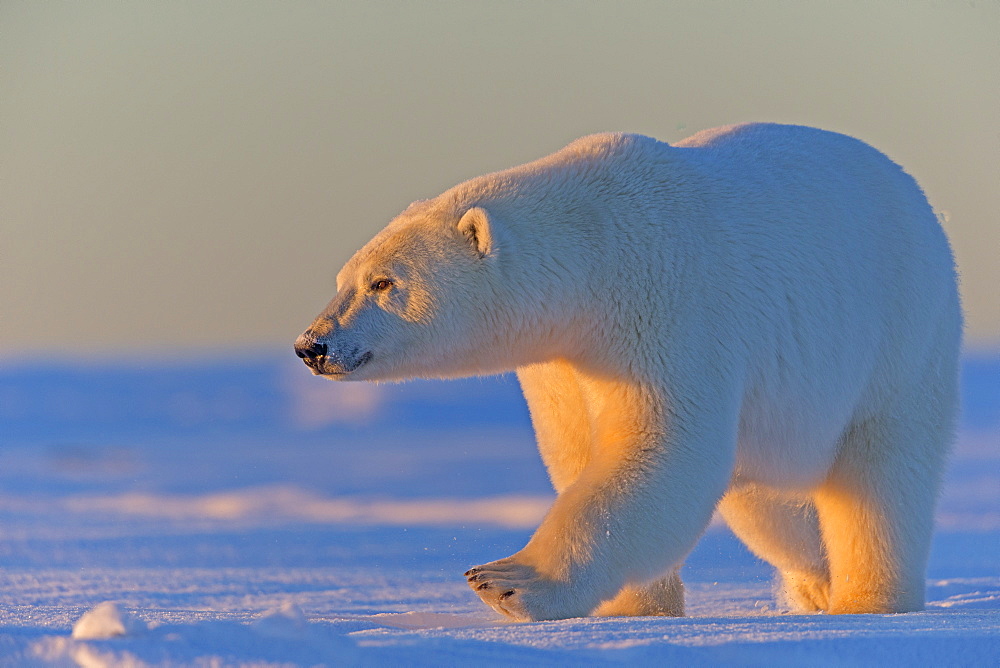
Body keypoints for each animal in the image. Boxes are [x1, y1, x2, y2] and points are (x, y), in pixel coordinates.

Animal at [294, 124, 960, 620]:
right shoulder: (561, 360)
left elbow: (657, 448)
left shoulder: (668, 309)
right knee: (769, 505)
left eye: (384, 282)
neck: (597, 248)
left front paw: (508, 581)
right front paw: (637, 610)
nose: (312, 345)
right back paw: (815, 584)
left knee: (878, 481)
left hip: (900, 337)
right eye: (346, 277)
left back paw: (867, 601)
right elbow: (580, 448)